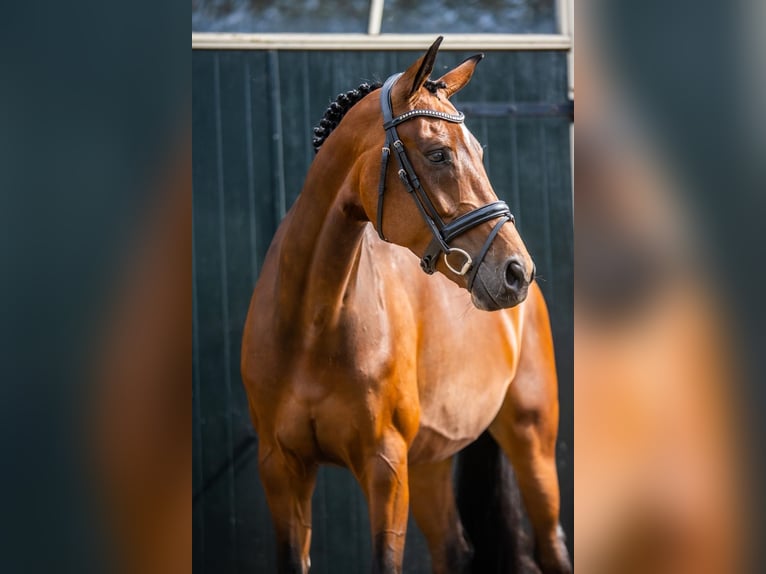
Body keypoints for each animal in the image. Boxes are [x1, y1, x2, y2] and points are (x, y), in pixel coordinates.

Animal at [241, 37, 571, 574]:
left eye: (479, 152)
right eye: (438, 154)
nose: (516, 271)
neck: (313, 323)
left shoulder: (385, 467)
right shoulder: (281, 468)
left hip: (531, 440)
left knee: (551, 544)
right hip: (431, 460)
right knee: (454, 549)